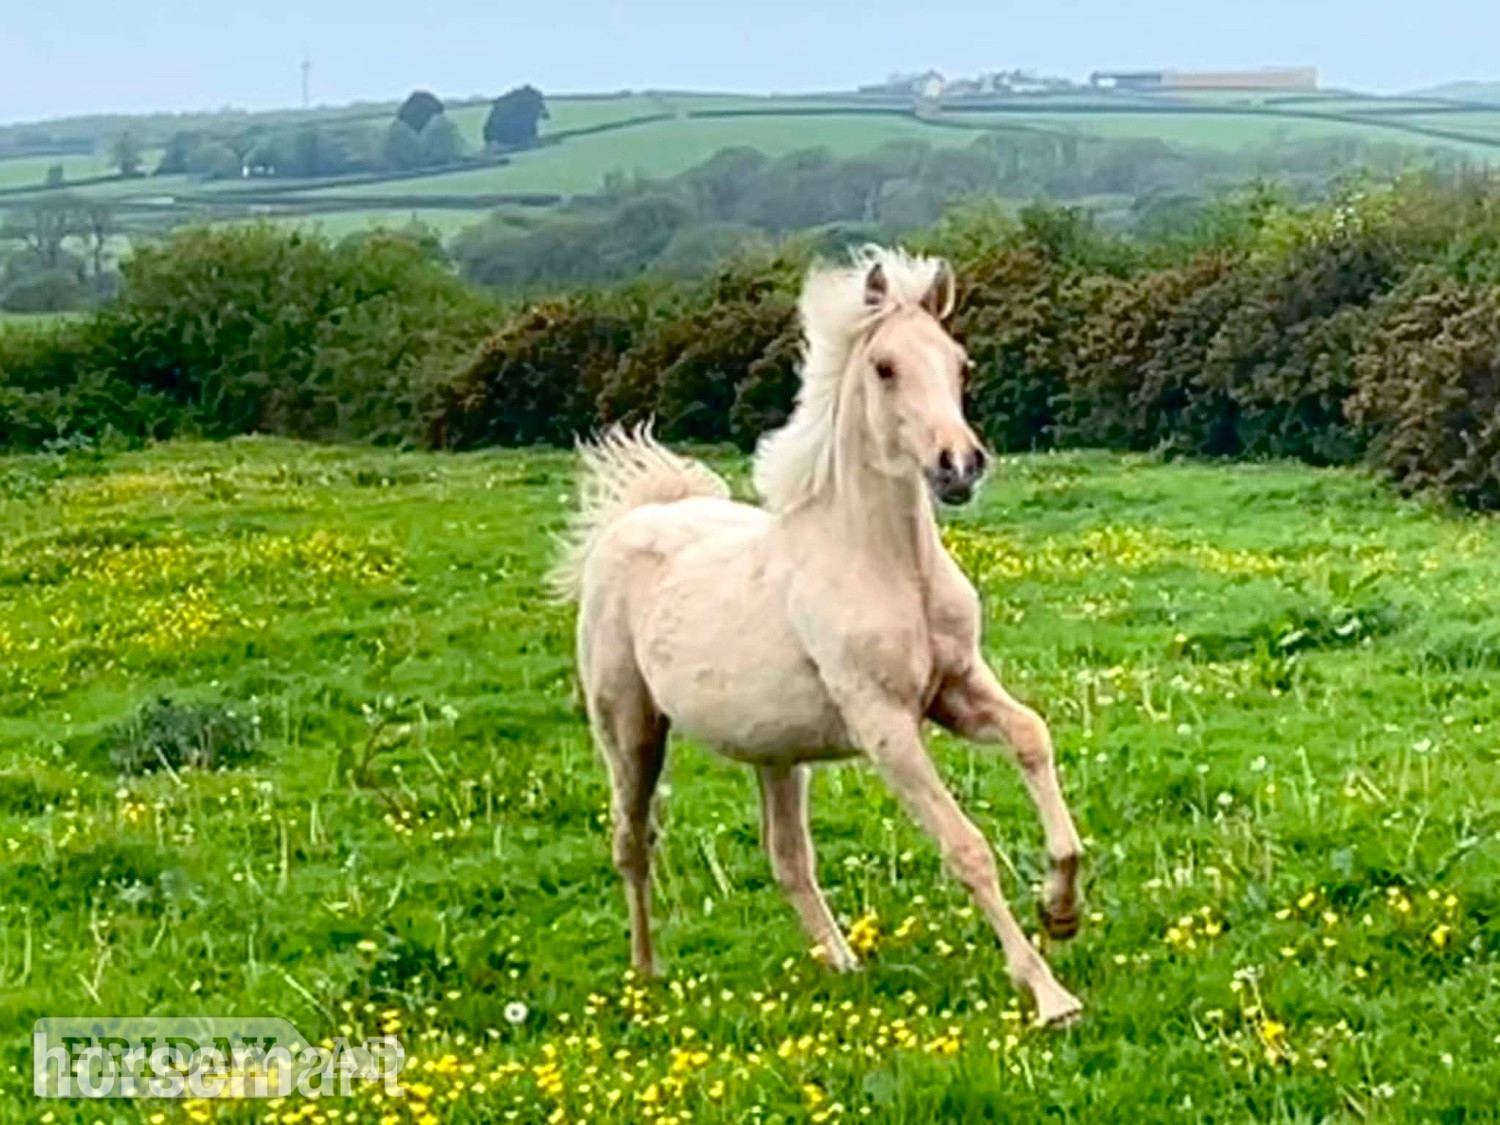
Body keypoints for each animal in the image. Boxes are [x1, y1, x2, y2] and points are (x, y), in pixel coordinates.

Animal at [552, 247, 1085, 1025]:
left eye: (960, 364)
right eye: (885, 367)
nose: (959, 466)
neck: (886, 565)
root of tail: (632, 519)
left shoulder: (957, 688)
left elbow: (1032, 736)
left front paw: (1062, 909)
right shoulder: (884, 724)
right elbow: (966, 846)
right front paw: (1048, 992)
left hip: (774, 752)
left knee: (786, 858)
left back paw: (843, 962)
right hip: (629, 728)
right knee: (632, 841)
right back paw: (646, 974)